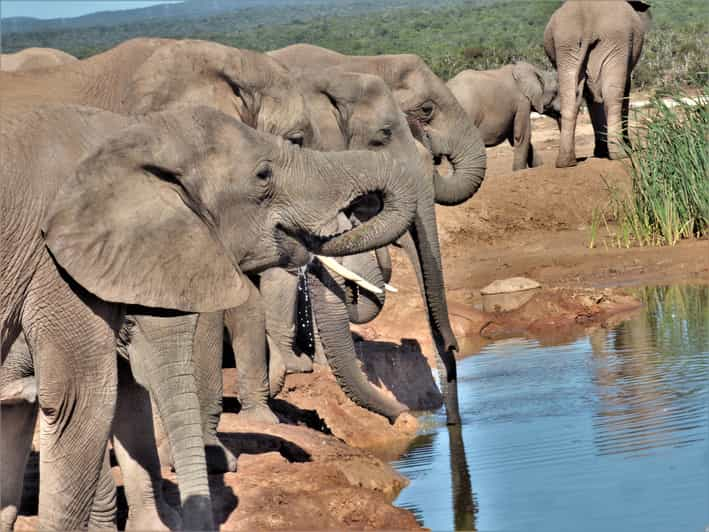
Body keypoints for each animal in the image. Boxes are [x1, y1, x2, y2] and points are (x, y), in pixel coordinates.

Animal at [0, 104, 414, 532]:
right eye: (263, 175)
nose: (404, 420)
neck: (133, 140)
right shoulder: (52, 269)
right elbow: (79, 402)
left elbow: (128, 396)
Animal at [544, 0, 652, 166]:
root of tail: (588, 24)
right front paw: (624, 149)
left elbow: (590, 97)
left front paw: (600, 152)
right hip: (616, 40)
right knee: (613, 97)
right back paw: (620, 154)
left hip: (565, 44)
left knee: (571, 97)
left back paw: (565, 162)